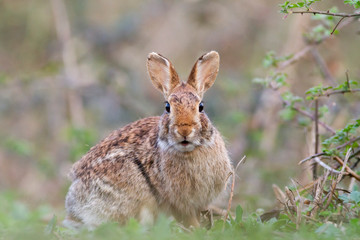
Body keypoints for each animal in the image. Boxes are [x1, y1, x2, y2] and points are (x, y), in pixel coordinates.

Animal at [63, 50, 232, 229]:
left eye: (201, 107)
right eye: (167, 107)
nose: (184, 130)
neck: (190, 151)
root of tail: (73, 203)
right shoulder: (179, 203)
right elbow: (188, 219)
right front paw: (197, 230)